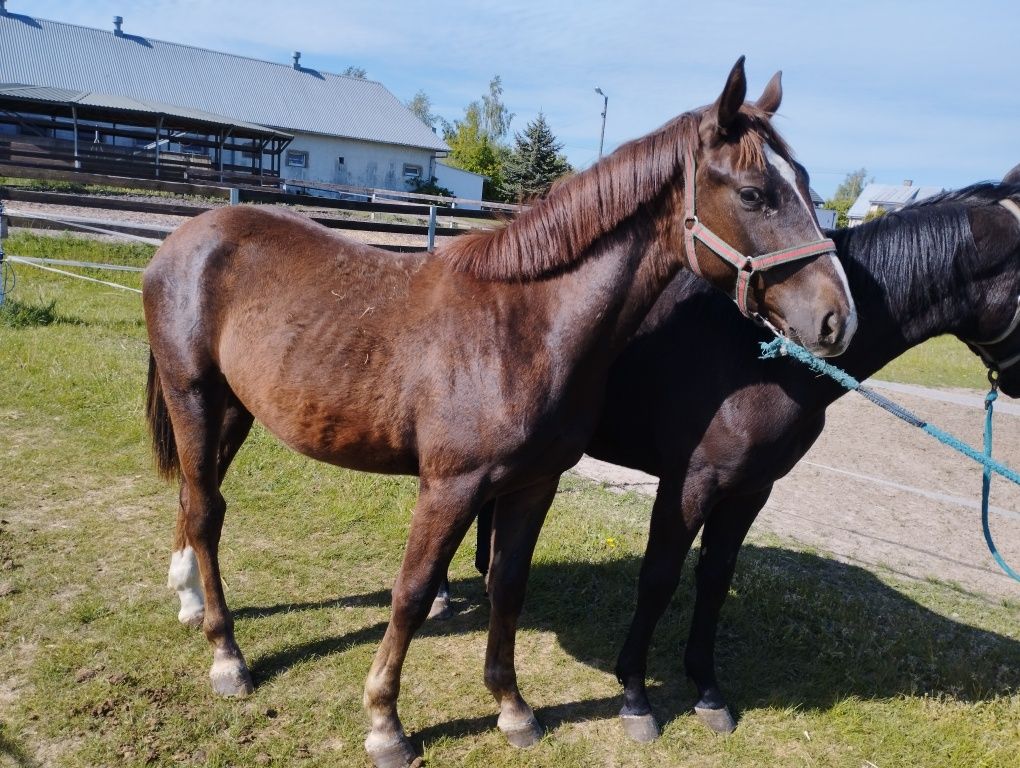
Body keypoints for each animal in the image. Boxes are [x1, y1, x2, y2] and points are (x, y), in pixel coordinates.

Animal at [143, 59, 856, 766]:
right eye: (754, 194)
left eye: (806, 184)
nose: (836, 319)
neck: (526, 326)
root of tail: (187, 236)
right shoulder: (450, 487)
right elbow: (412, 592)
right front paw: (385, 722)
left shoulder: (534, 484)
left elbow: (508, 588)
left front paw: (513, 709)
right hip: (193, 395)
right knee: (206, 512)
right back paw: (227, 657)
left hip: (234, 409)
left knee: (194, 496)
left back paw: (188, 601)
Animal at [475, 176, 1020, 738]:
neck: (758, 359)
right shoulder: (690, 484)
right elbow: (659, 579)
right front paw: (635, 696)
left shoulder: (750, 490)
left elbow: (715, 580)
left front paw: (708, 691)